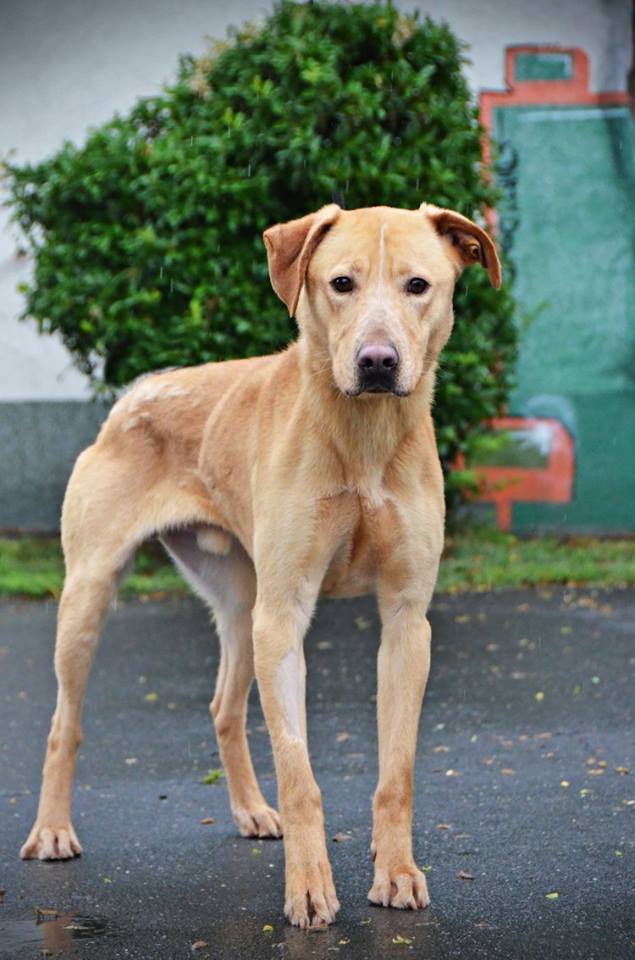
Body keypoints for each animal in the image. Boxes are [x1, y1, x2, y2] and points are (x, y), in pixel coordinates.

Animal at [19, 202, 502, 928]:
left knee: (224, 705)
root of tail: (140, 391)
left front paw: (394, 873)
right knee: (61, 723)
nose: (377, 362)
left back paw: (250, 811)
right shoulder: (286, 615)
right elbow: (300, 775)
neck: (362, 438)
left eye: (418, 285)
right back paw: (52, 830)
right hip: (92, 596)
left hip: (243, 606)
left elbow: (397, 773)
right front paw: (308, 889)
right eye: (340, 284)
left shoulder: (405, 620)